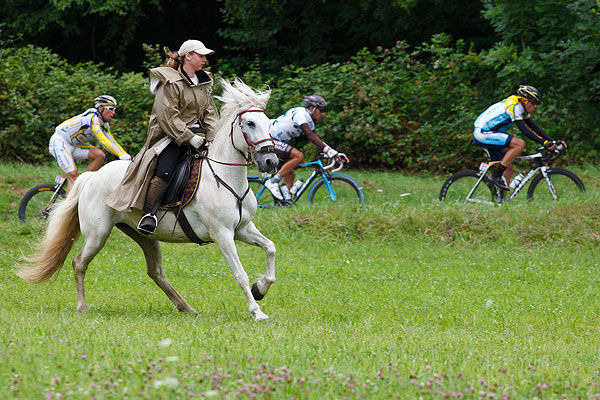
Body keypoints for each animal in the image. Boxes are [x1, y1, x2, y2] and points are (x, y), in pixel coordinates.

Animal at [18, 78, 278, 322]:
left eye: (269, 123)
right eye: (250, 123)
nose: (271, 162)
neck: (224, 176)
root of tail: (92, 177)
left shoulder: (242, 229)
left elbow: (270, 248)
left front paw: (260, 288)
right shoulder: (222, 234)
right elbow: (240, 274)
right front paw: (257, 312)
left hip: (144, 235)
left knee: (156, 272)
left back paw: (186, 307)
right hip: (97, 234)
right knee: (79, 263)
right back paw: (82, 307)